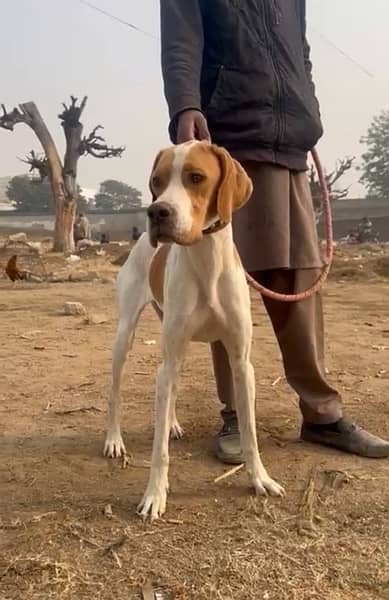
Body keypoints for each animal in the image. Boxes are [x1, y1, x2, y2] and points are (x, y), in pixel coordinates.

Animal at [104, 142, 284, 520]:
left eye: (196, 177)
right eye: (156, 181)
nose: (156, 212)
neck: (206, 259)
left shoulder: (241, 362)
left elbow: (250, 433)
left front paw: (260, 478)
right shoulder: (167, 358)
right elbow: (158, 450)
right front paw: (154, 495)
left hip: (178, 351)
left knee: (170, 390)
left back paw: (171, 422)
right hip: (125, 339)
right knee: (115, 393)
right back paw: (114, 440)